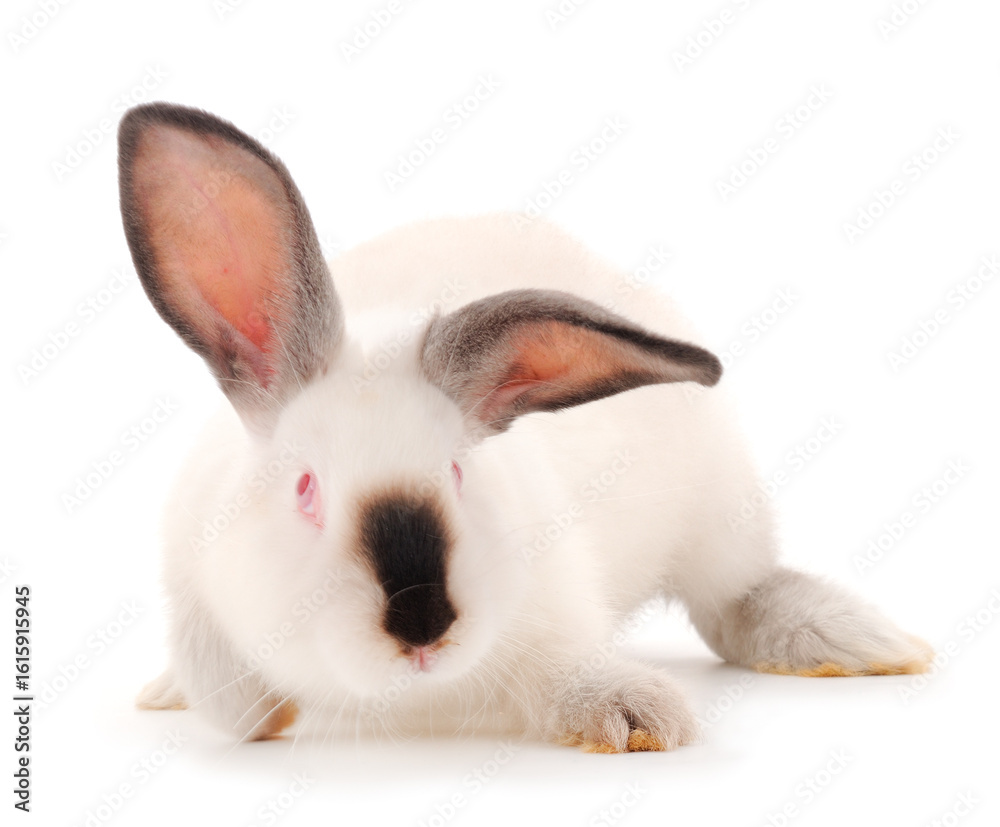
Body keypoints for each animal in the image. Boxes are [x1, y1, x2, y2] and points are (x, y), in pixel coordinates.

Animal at [118, 102, 932, 752]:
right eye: (305, 488)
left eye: (459, 471)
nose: (422, 621)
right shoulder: (190, 577)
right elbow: (225, 691)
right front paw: (247, 708)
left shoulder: (558, 608)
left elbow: (570, 668)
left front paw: (638, 718)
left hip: (720, 516)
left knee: (736, 597)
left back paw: (860, 640)